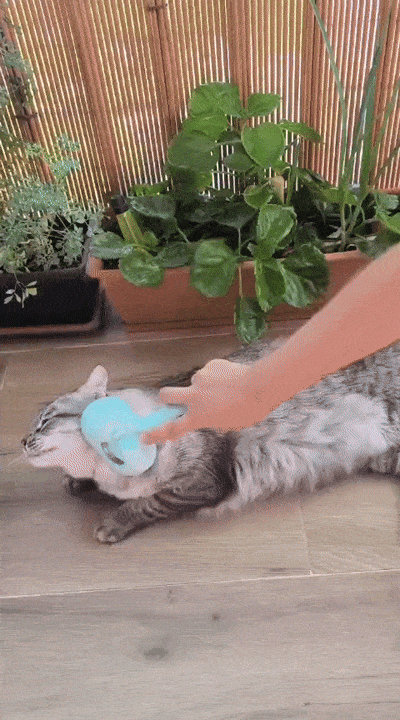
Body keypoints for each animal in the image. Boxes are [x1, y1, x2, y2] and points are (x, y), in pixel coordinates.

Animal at [22, 337, 400, 543]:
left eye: (45, 421)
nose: (23, 441)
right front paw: (75, 481)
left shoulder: (204, 481)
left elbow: (147, 502)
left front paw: (113, 522)